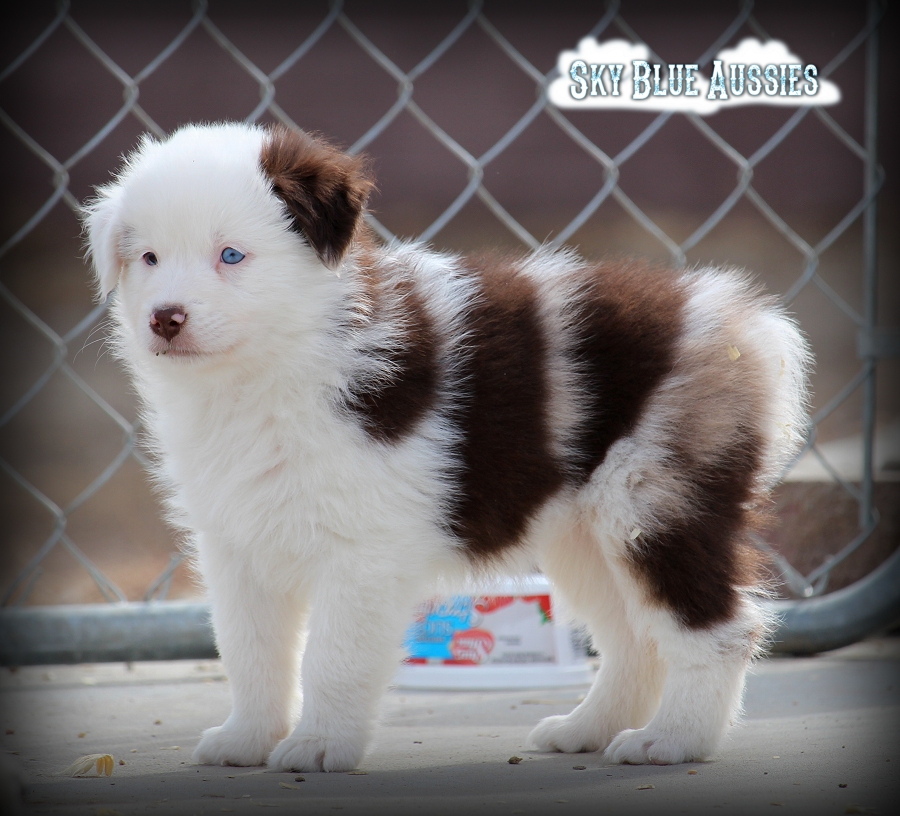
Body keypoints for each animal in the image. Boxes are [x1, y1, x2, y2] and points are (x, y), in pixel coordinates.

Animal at [84, 121, 812, 772]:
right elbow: (250, 651)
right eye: (148, 259)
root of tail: (744, 322)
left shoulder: (362, 552)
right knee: (635, 640)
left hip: (653, 503)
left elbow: (331, 657)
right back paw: (588, 729)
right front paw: (246, 740)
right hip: (583, 534)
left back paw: (675, 740)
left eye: (231, 256)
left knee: (717, 630)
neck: (267, 370)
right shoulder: (237, 544)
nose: (166, 318)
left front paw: (318, 747)